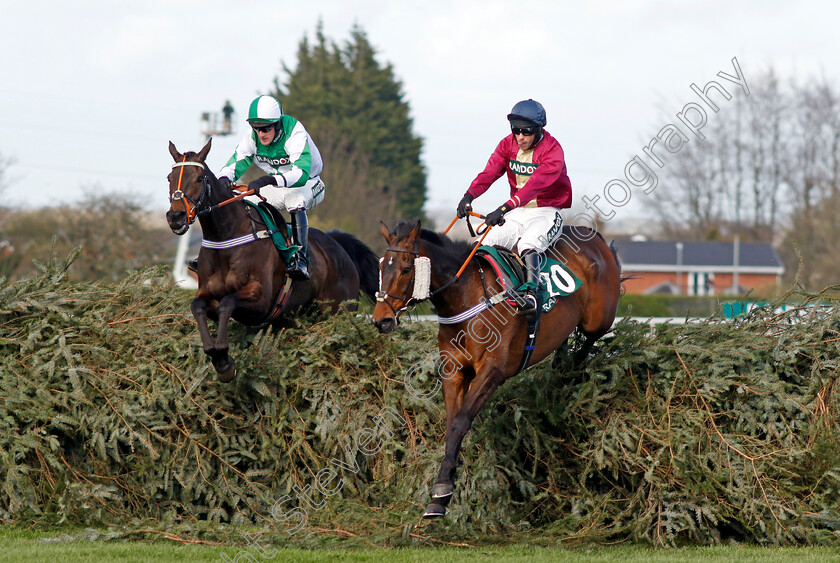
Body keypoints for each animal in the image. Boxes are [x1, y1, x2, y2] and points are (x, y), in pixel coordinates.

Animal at [167, 139, 378, 382]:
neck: (227, 237)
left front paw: (224, 361)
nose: (175, 217)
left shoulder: (261, 300)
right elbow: (198, 306)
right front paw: (217, 357)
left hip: (338, 312)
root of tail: (337, 244)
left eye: (200, 178)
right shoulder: (207, 293)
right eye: (169, 178)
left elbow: (227, 303)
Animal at [370, 218, 620, 516]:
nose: (381, 320)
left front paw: (442, 488)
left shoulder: (492, 370)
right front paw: (441, 493)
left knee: (589, 340)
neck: (467, 297)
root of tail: (595, 237)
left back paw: (570, 371)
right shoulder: (454, 371)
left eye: (406, 269)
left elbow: (461, 422)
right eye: (381, 266)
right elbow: (452, 423)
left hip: (598, 318)